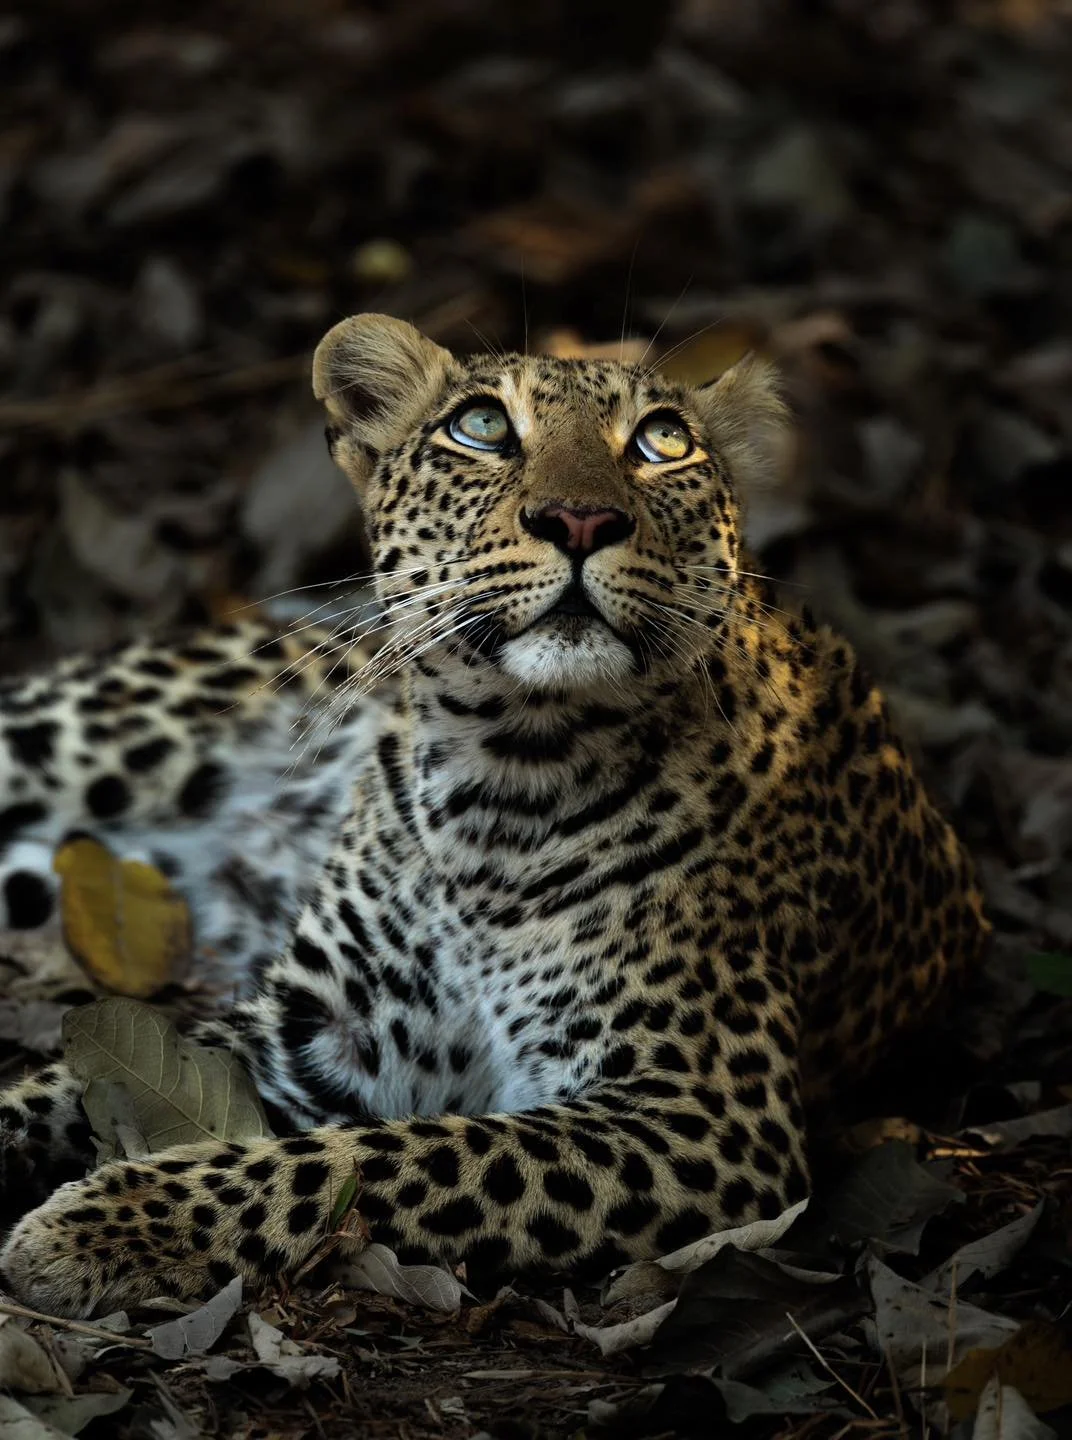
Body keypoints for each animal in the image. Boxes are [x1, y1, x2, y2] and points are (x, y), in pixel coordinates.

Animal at [0, 313, 989, 1319]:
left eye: (663, 441)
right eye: (480, 427)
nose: (580, 520)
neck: (504, 780)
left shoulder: (705, 1112)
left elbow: (381, 1159)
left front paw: (106, 1223)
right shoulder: (309, 1029)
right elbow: (54, 1087)